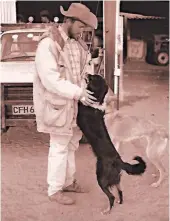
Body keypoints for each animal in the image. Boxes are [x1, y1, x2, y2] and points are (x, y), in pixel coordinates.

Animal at [77, 74, 146, 214]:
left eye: (92, 78)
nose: (86, 73)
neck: (96, 101)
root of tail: (119, 160)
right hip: (116, 178)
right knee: (120, 190)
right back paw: (120, 202)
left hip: (101, 178)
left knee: (111, 196)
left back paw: (107, 210)